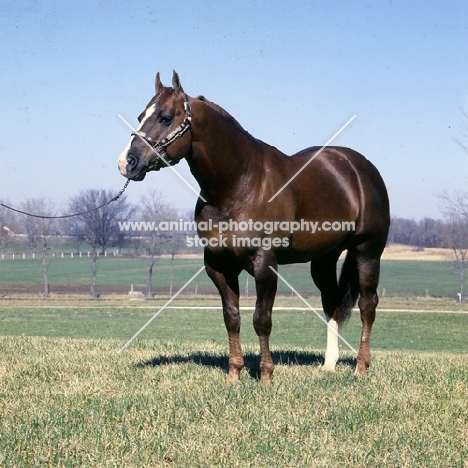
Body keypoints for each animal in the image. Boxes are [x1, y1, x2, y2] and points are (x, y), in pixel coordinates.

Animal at [118, 71, 392, 382]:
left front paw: (266, 375)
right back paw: (328, 365)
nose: (127, 162)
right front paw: (234, 373)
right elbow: (232, 317)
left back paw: (361, 367)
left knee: (367, 305)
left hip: (367, 251)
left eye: (165, 118)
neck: (238, 184)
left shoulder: (265, 264)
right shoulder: (218, 265)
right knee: (331, 301)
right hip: (324, 258)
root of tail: (359, 168)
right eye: (141, 116)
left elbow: (262, 319)